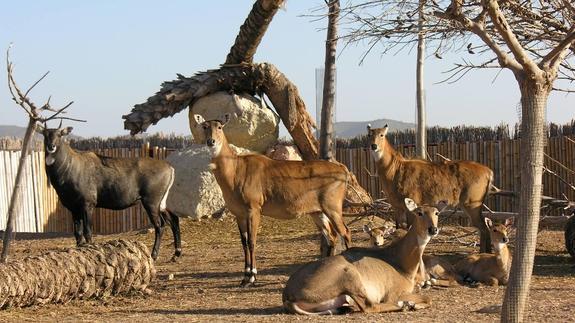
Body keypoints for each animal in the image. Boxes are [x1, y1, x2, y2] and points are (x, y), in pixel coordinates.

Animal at [37, 123, 180, 262]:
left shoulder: (88, 204)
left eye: (59, 134)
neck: (70, 167)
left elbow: (87, 232)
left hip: (151, 202)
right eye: (45, 134)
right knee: (174, 220)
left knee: (160, 225)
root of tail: (170, 168)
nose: (51, 146)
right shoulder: (74, 208)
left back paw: (154, 255)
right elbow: (77, 233)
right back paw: (176, 254)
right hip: (161, 204)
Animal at [196, 115, 354, 288]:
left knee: (345, 232)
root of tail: (343, 169)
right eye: (204, 126)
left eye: (219, 127)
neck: (235, 170)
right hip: (317, 211)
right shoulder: (239, 214)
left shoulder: (254, 209)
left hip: (332, 208)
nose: (211, 141)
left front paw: (252, 277)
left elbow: (252, 241)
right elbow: (244, 243)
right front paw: (244, 278)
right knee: (331, 236)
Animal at [284, 199, 440, 316]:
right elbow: (428, 298)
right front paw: (412, 304)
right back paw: (405, 305)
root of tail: (287, 295)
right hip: (350, 275)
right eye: (419, 213)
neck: (399, 260)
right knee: (369, 306)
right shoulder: (394, 294)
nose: (433, 229)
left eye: (436, 212)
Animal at [368, 125, 496, 254]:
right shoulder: (397, 207)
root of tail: (489, 172)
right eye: (369, 134)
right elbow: (399, 229)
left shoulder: (411, 203)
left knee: (484, 228)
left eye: (382, 134)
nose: (373, 146)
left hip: (472, 204)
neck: (394, 170)